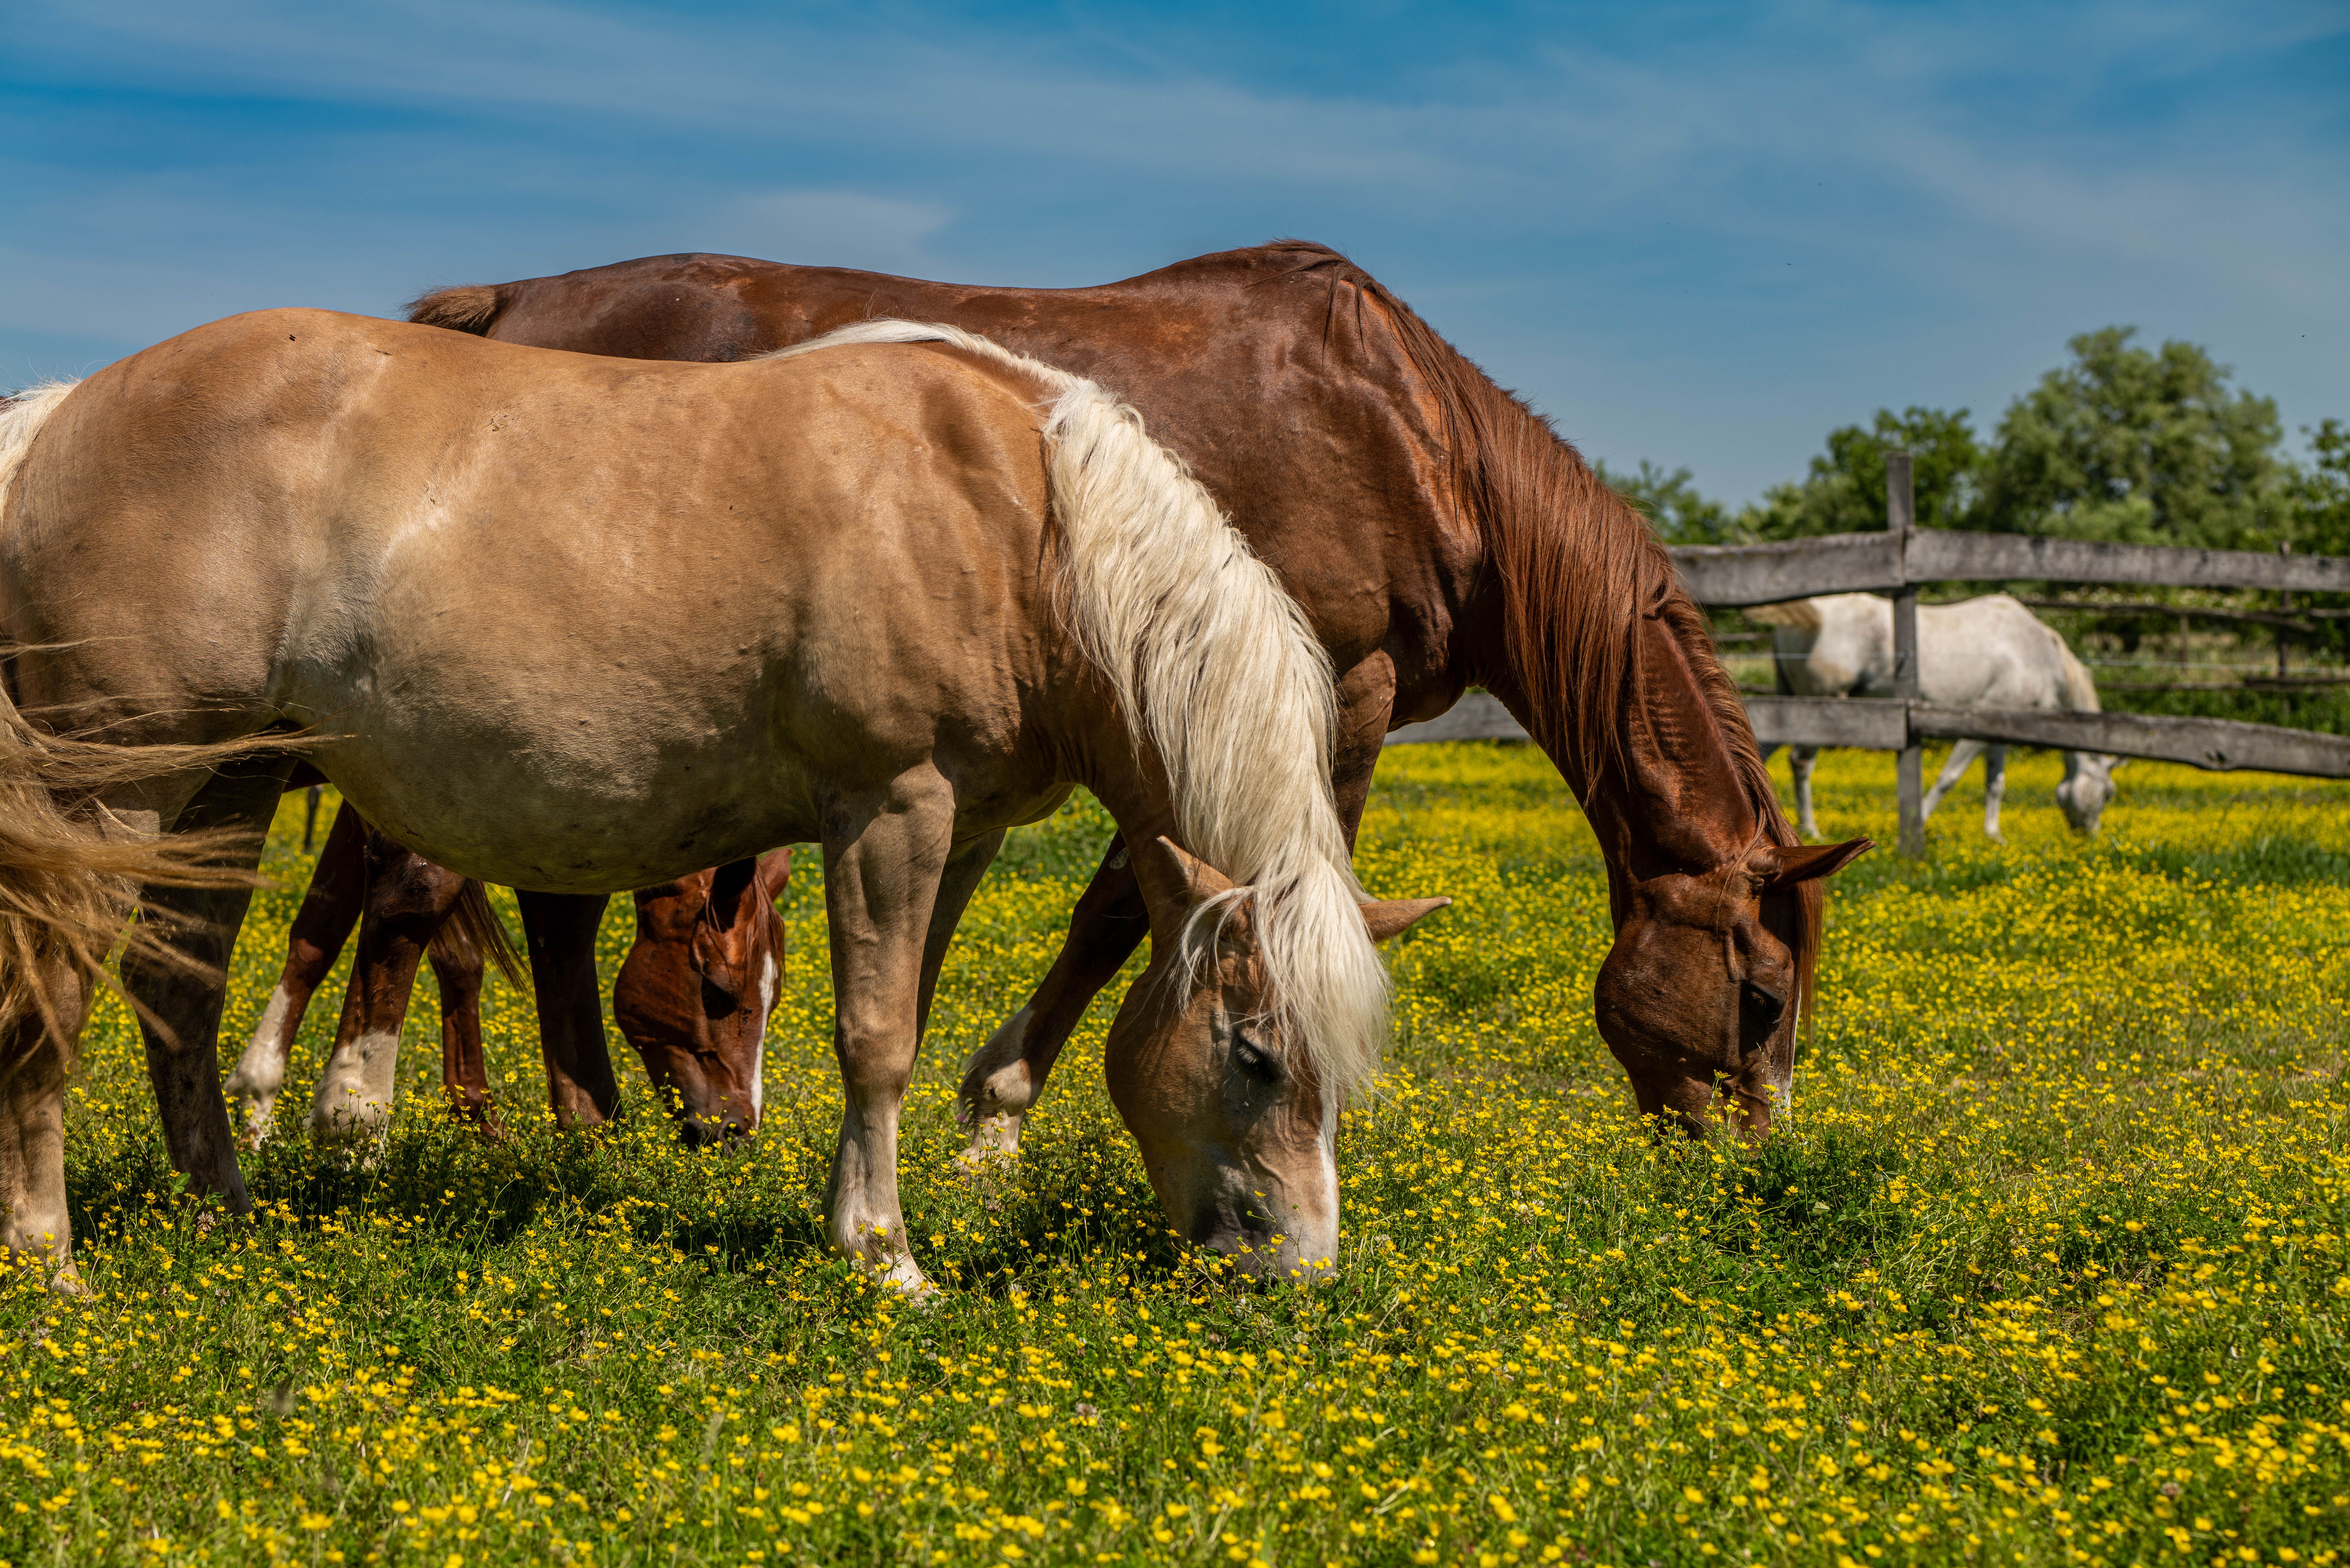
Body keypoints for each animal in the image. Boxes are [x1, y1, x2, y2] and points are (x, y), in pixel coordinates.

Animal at [391, 243, 1870, 1154]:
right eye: (1758, 999)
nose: (1744, 1159)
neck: (1410, 435)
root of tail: (505, 301)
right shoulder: (1330, 692)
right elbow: (1157, 901)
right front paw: (996, 1113)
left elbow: (1125, 894)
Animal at [1747, 593, 2120, 840]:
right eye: (2107, 794)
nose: (2090, 836)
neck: (2034, 651)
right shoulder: (1979, 722)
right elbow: (1948, 778)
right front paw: (1917, 825)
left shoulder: (2000, 729)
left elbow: (1996, 783)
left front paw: (1993, 835)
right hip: (1821, 708)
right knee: (1800, 762)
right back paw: (1812, 830)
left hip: (1791, 702)